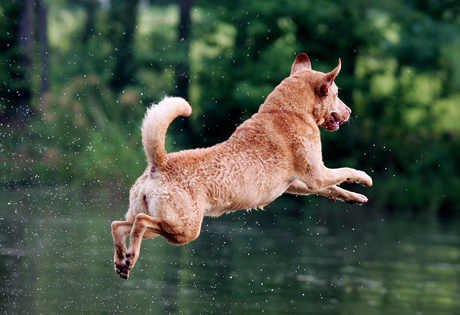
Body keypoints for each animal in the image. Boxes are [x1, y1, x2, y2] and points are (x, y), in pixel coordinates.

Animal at [112, 53, 374, 280]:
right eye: (337, 94)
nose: (350, 111)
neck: (289, 110)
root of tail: (159, 163)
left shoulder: (298, 184)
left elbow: (334, 188)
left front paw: (356, 197)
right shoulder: (316, 174)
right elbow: (344, 172)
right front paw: (364, 178)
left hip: (163, 222)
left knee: (120, 226)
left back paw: (122, 261)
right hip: (184, 228)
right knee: (140, 223)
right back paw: (130, 256)